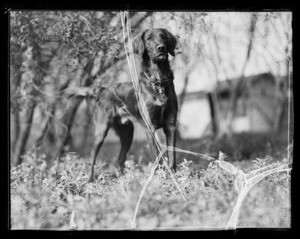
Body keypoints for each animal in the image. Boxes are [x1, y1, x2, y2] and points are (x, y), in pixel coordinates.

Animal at [69, 28, 178, 181]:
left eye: (163, 37)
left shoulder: (170, 125)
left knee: (120, 158)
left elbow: (172, 157)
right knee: (92, 157)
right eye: (148, 39)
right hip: (101, 130)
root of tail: (103, 89)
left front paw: (175, 179)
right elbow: (156, 158)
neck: (159, 82)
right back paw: (90, 180)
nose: (160, 48)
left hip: (127, 133)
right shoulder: (149, 128)